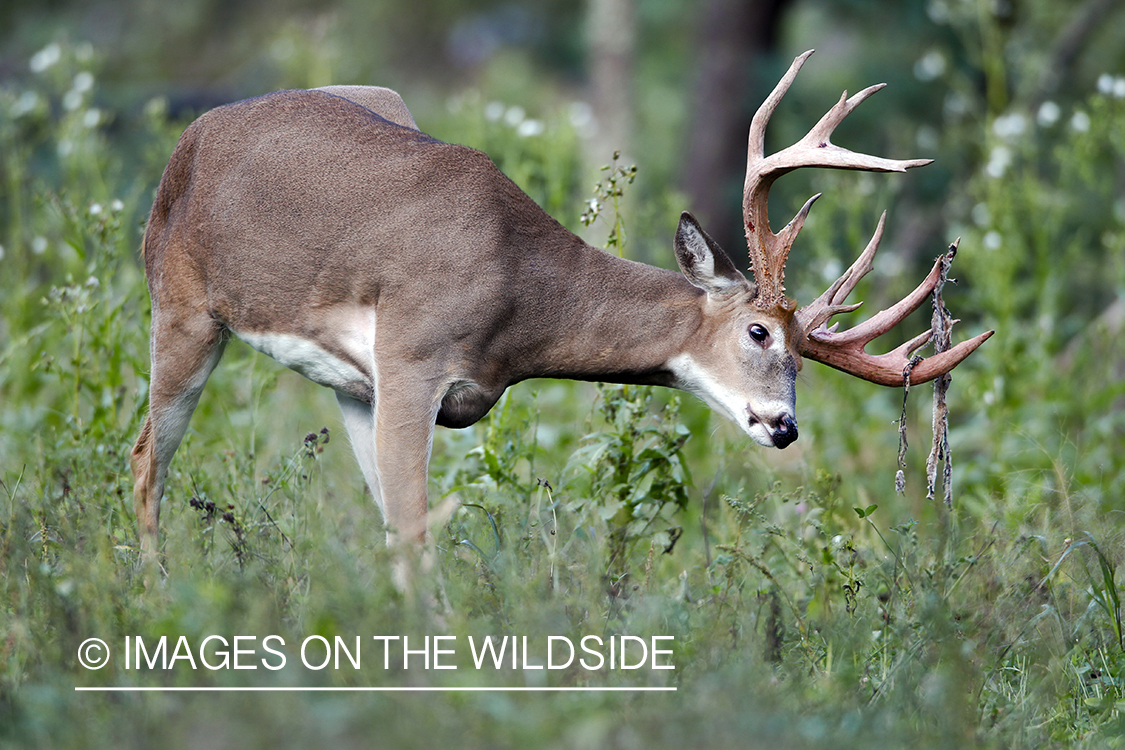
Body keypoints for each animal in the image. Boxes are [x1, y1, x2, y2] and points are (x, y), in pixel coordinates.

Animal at [131, 51, 994, 562]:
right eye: (756, 329)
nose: (782, 427)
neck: (518, 297)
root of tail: (191, 136)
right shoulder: (411, 358)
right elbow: (416, 531)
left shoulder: (386, 383)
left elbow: (402, 530)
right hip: (183, 304)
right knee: (145, 457)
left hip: (342, 383)